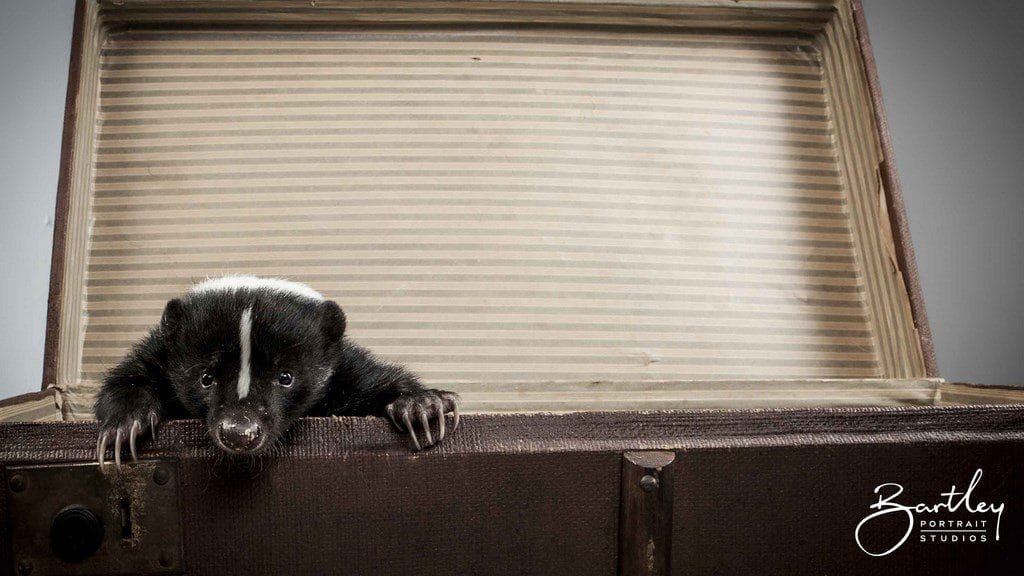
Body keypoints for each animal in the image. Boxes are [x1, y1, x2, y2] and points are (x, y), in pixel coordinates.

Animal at [94, 276, 458, 463]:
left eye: (286, 377)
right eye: (206, 378)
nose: (239, 432)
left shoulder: (346, 371)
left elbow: (379, 379)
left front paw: (421, 405)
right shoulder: (159, 352)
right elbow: (128, 377)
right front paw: (125, 424)